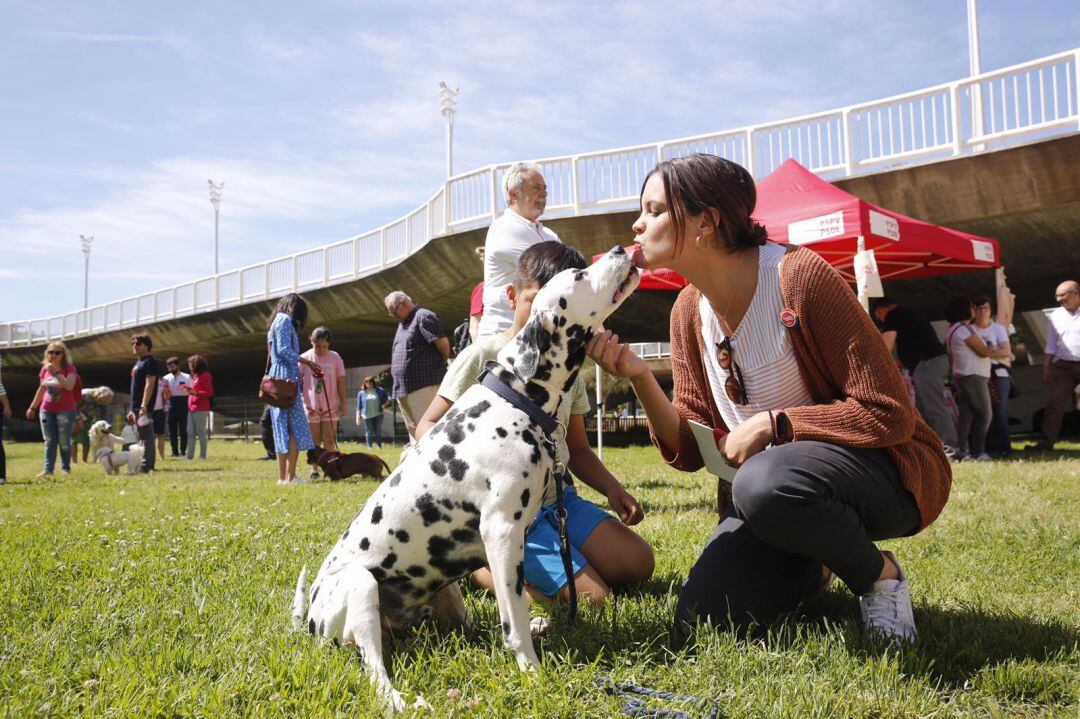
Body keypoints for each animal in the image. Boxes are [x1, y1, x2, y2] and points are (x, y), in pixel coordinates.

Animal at [291, 243, 635, 708]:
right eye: (579, 275)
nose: (619, 248)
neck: (516, 396)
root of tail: (309, 617)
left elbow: (512, 611)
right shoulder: (502, 533)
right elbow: (513, 617)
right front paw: (532, 670)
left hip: (447, 590)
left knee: (472, 628)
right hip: (362, 586)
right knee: (375, 669)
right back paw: (400, 699)